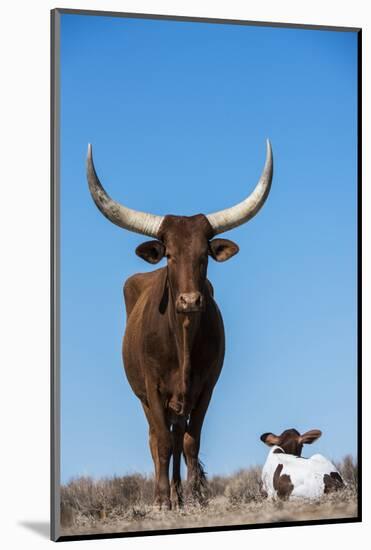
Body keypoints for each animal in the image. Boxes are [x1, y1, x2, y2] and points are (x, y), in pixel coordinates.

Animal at [86, 141, 274, 508]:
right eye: (170, 254)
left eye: (204, 255)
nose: (189, 300)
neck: (183, 339)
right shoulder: (153, 390)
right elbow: (160, 442)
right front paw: (161, 500)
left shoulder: (206, 388)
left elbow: (189, 441)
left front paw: (194, 494)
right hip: (145, 398)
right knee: (157, 439)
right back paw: (167, 495)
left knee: (177, 439)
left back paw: (180, 494)